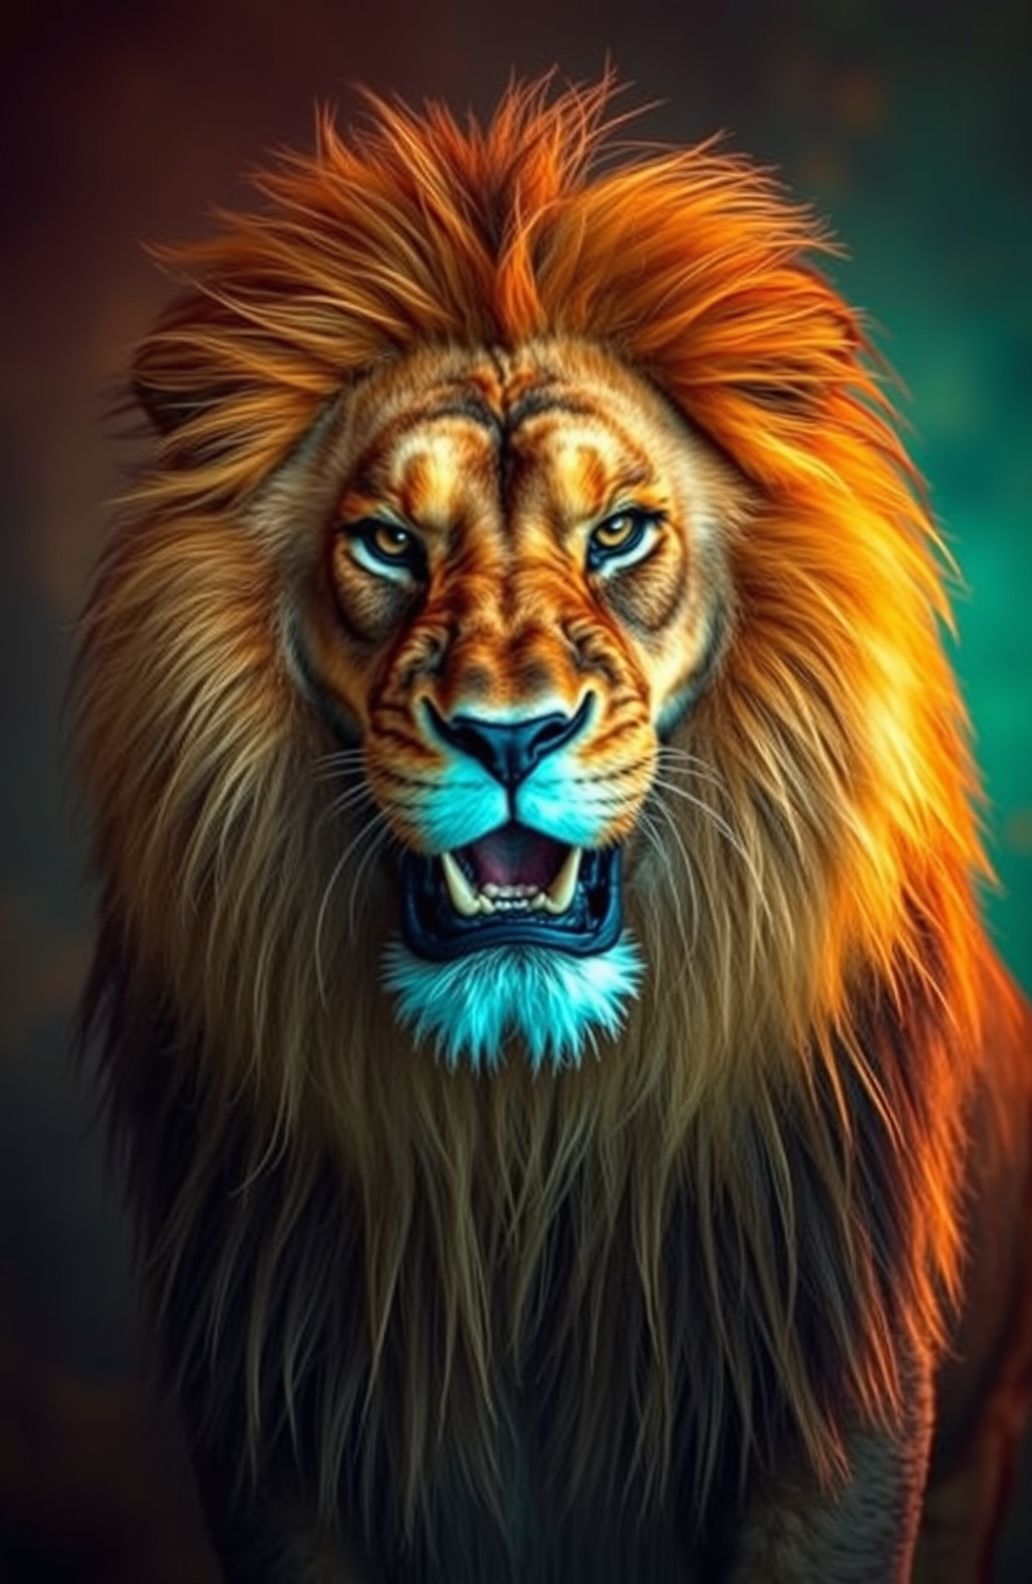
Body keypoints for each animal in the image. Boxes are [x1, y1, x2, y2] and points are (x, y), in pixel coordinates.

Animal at [71, 72, 1032, 1583]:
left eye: (621, 533)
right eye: (391, 542)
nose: (510, 735)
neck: (523, 1130)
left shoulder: (837, 1409)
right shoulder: (278, 1417)